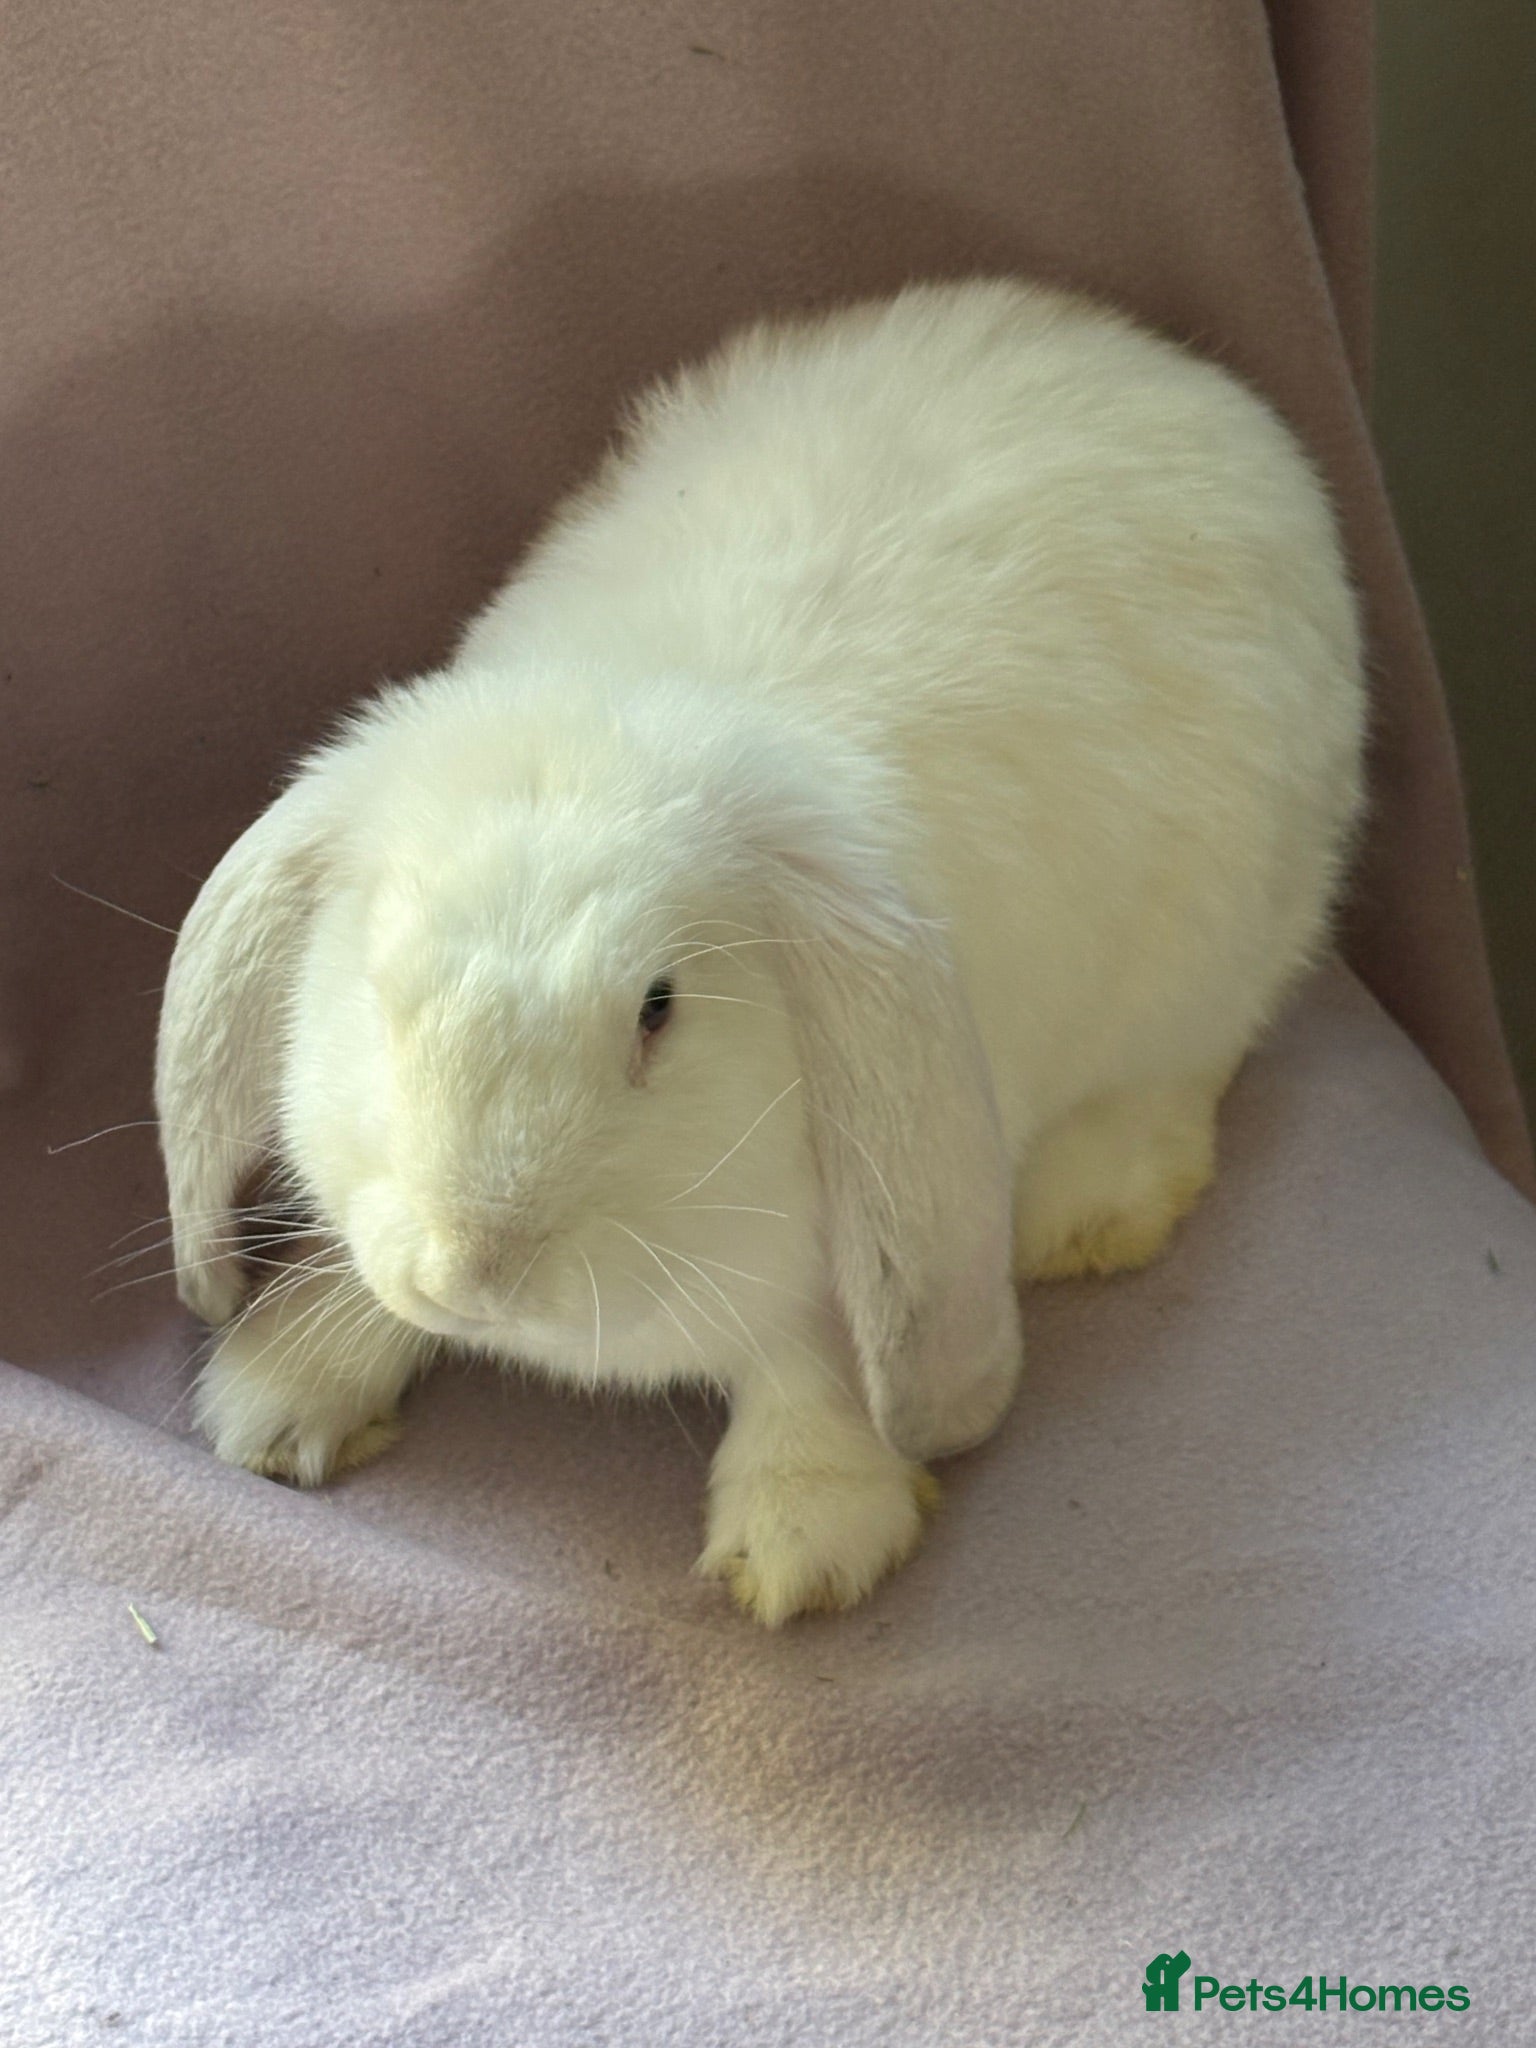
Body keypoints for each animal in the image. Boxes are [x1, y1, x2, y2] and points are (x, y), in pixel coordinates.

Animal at [156, 277, 1366, 1624]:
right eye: (379, 987)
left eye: (658, 1009)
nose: (477, 1268)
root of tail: (1172, 373)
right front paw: (284, 1384)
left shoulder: (870, 1200)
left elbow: (826, 1352)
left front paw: (805, 1536)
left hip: (1227, 938)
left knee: (1184, 1070)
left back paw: (1086, 1216)